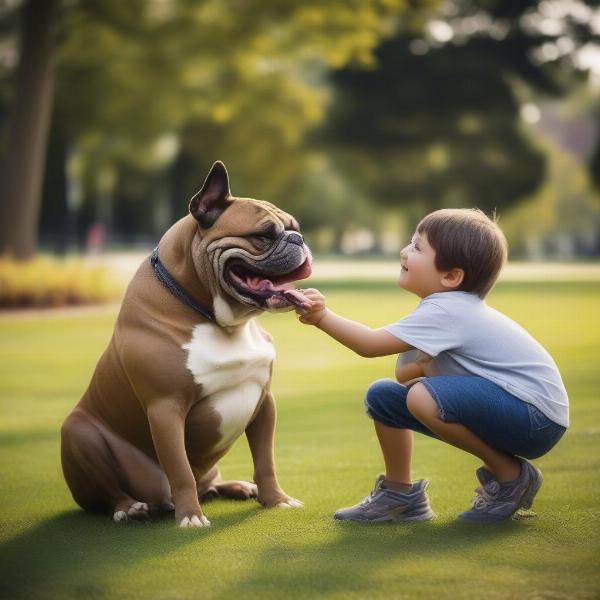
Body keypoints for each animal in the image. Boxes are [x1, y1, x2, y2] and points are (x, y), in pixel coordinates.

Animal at [59, 162, 314, 528]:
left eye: (295, 229)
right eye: (262, 236)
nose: (299, 239)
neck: (219, 319)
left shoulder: (264, 401)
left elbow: (266, 461)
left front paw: (276, 499)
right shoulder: (166, 409)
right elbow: (179, 470)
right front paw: (191, 517)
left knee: (209, 482)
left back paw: (236, 487)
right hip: (77, 432)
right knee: (110, 493)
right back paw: (130, 508)